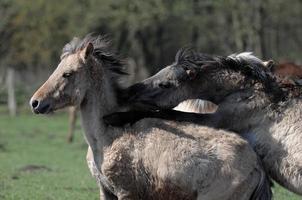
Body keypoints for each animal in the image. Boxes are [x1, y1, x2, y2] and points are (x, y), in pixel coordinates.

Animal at [30, 35, 272, 199]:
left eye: (67, 74)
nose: (35, 102)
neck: (107, 137)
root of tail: (258, 166)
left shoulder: (126, 193)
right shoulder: (105, 191)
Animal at [106, 49, 302, 195]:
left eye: (165, 84)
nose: (126, 93)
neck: (249, 90)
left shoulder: (216, 119)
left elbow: (168, 113)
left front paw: (116, 117)